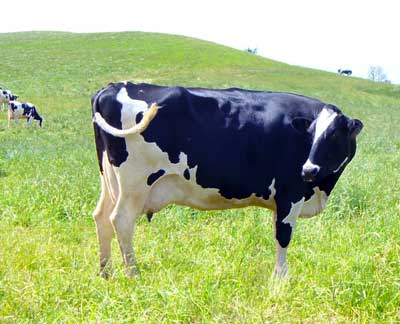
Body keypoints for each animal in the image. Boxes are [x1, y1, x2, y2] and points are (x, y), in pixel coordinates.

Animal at [92, 82, 364, 278]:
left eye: (334, 135)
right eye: (312, 134)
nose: (308, 170)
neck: (320, 189)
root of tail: (114, 87)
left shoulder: (280, 200)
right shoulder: (290, 193)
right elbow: (283, 236)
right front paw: (280, 280)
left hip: (110, 180)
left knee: (101, 217)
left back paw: (106, 273)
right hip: (135, 184)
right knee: (121, 220)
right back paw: (133, 275)